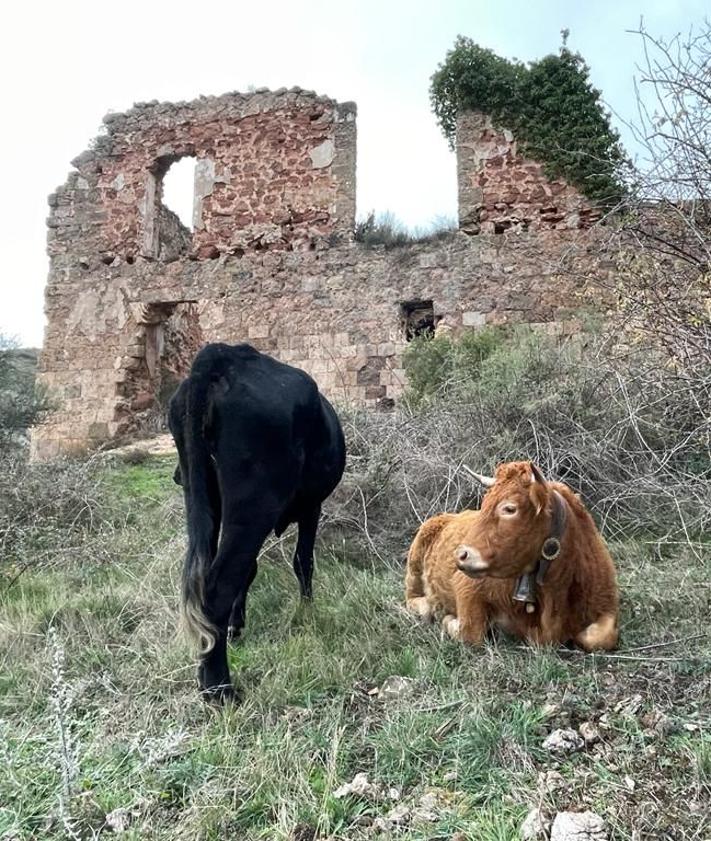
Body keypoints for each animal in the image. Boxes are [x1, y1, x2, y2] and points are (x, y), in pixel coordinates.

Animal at [167, 342, 344, 704]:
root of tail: (226, 356)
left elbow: (250, 572)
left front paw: (238, 625)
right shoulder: (312, 506)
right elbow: (303, 561)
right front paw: (307, 611)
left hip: (209, 502)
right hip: (255, 508)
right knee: (218, 587)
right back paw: (219, 688)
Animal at [408, 460, 620, 648]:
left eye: (510, 508)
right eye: (483, 505)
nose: (460, 555)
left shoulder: (606, 601)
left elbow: (601, 637)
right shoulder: (466, 585)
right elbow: (471, 632)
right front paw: (448, 620)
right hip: (414, 563)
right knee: (413, 598)